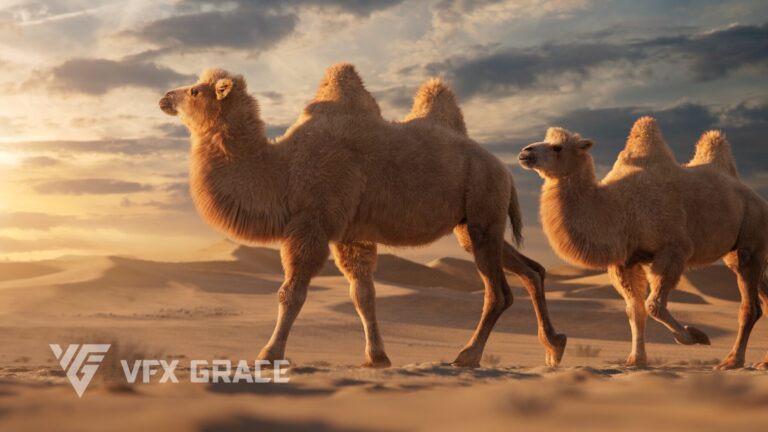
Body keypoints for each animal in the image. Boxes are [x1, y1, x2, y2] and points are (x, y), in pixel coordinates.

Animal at [158, 63, 566, 368]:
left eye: (195, 91)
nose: (164, 97)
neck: (284, 169)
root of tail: (505, 170)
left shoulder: (313, 221)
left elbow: (292, 292)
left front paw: (270, 354)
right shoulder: (351, 234)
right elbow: (363, 294)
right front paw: (377, 357)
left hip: (483, 205)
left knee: (498, 292)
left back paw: (468, 355)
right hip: (476, 223)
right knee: (531, 270)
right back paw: (554, 346)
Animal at [518, 117, 768, 370]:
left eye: (557, 147)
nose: (525, 152)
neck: (616, 207)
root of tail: (757, 198)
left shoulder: (672, 249)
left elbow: (653, 305)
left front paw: (694, 335)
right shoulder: (625, 261)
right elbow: (634, 310)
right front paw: (636, 359)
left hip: (751, 242)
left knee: (750, 305)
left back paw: (732, 361)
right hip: (746, 253)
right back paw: (763, 363)